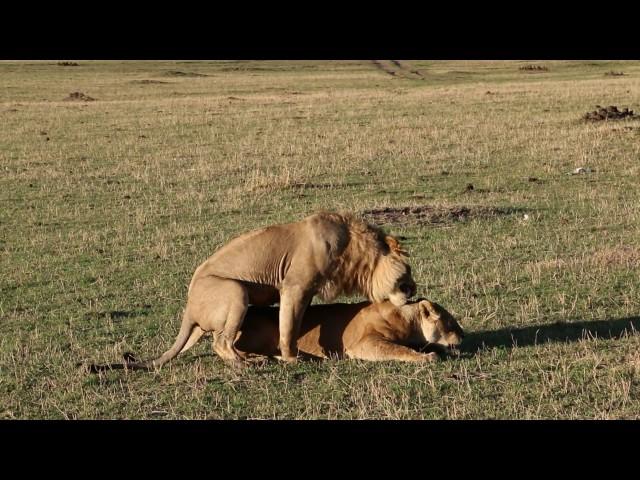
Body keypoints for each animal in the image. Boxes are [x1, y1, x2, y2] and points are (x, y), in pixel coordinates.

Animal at [94, 211, 416, 368]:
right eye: (407, 274)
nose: (413, 291)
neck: (354, 253)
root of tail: (188, 306)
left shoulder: (307, 293)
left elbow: (296, 325)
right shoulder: (294, 288)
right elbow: (287, 328)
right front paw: (292, 359)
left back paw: (252, 358)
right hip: (236, 291)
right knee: (220, 343)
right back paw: (248, 364)